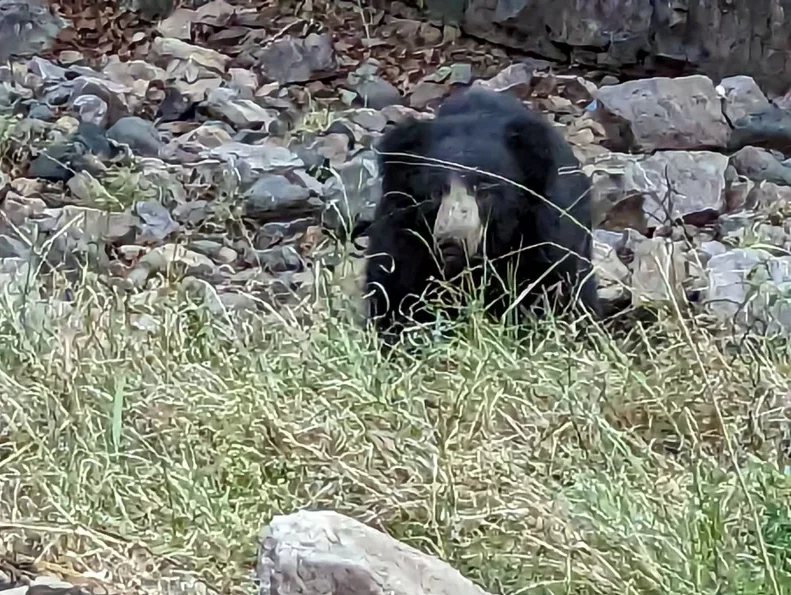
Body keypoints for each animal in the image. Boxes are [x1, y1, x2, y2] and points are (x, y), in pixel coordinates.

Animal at [366, 86, 600, 342]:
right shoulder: (402, 233)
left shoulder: (546, 237)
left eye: (484, 188)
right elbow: (394, 291)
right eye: (435, 192)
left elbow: (551, 290)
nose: (452, 240)